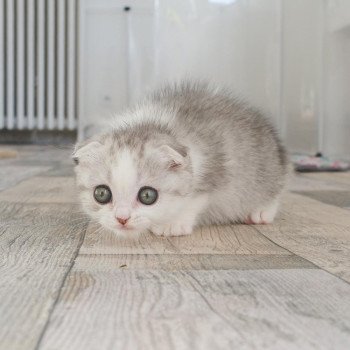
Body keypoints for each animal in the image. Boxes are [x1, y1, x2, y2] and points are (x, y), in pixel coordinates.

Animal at [73, 81, 288, 238]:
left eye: (147, 196)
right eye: (101, 194)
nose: (122, 218)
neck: (151, 124)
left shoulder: (216, 171)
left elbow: (196, 199)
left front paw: (173, 224)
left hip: (264, 169)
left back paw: (261, 212)